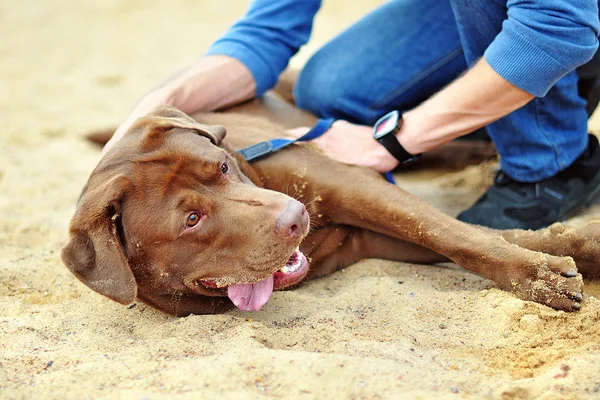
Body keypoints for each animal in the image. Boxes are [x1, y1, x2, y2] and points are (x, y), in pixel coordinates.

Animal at [62, 94, 600, 316]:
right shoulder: (370, 235)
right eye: (192, 219)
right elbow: (465, 236)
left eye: (222, 167)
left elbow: (452, 231)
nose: (294, 219)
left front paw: (547, 271)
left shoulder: (351, 181)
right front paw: (562, 259)